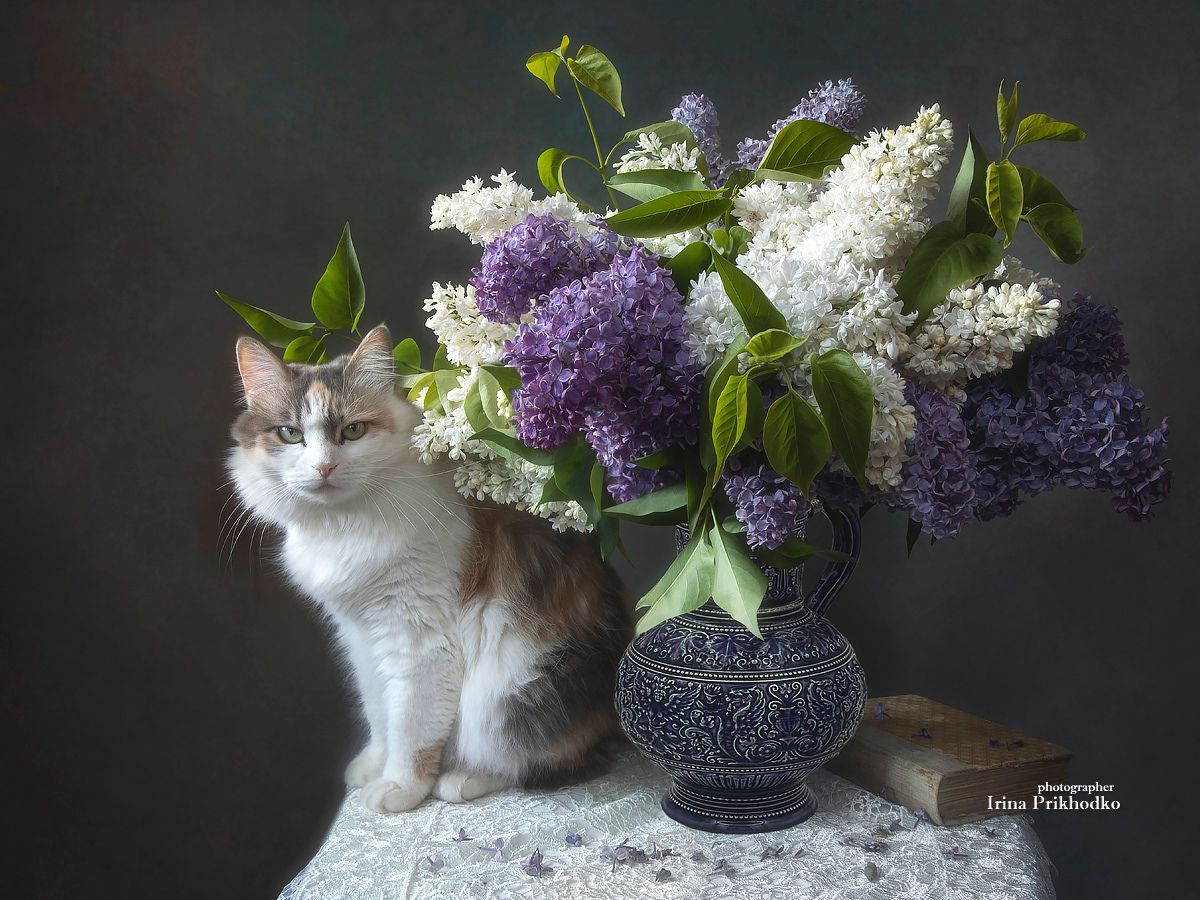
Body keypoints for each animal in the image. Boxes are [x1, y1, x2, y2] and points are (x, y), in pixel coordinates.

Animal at [228, 324, 631, 813]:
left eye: (353, 430)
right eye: (290, 434)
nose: (324, 467)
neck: (343, 525)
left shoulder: (418, 639)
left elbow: (411, 726)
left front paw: (398, 787)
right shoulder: (361, 637)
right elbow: (379, 710)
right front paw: (373, 766)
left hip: (507, 691)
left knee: (545, 760)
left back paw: (462, 779)